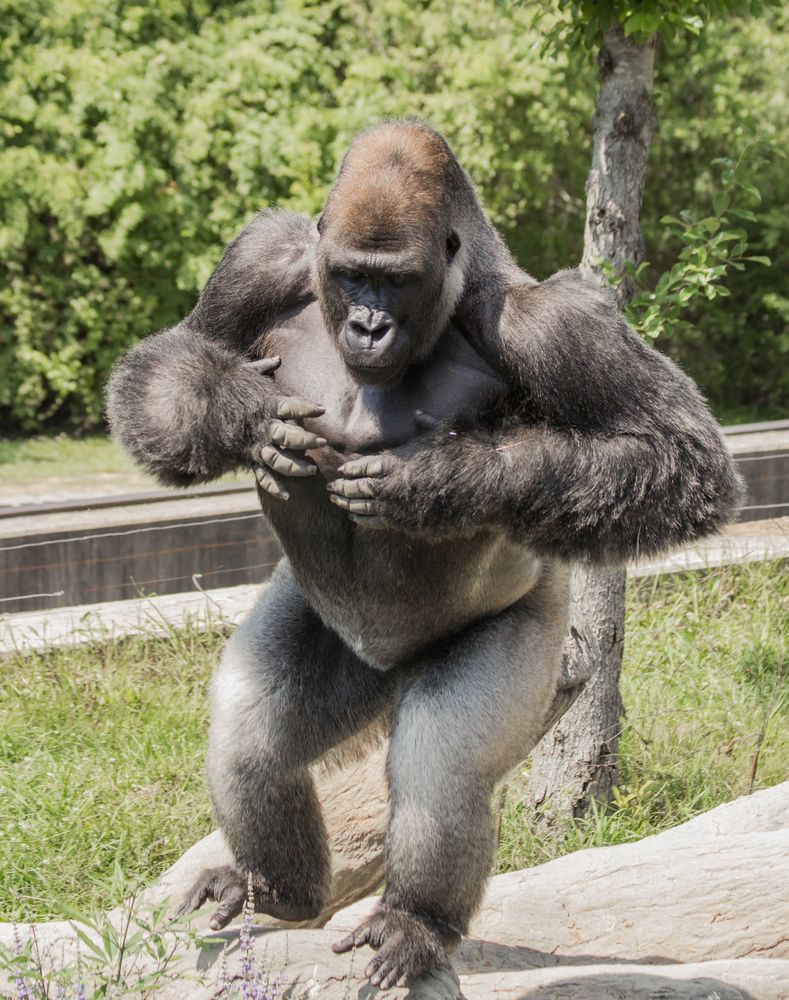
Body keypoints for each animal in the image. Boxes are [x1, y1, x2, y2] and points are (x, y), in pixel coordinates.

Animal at [107, 120, 741, 989]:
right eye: (352, 277)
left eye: (396, 283)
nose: (367, 325)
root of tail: (388, 672)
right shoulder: (261, 256)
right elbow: (171, 356)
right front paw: (239, 411)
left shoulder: (556, 323)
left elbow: (679, 456)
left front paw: (446, 482)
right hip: (331, 640)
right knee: (252, 733)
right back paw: (276, 885)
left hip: (539, 625)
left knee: (441, 769)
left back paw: (416, 923)